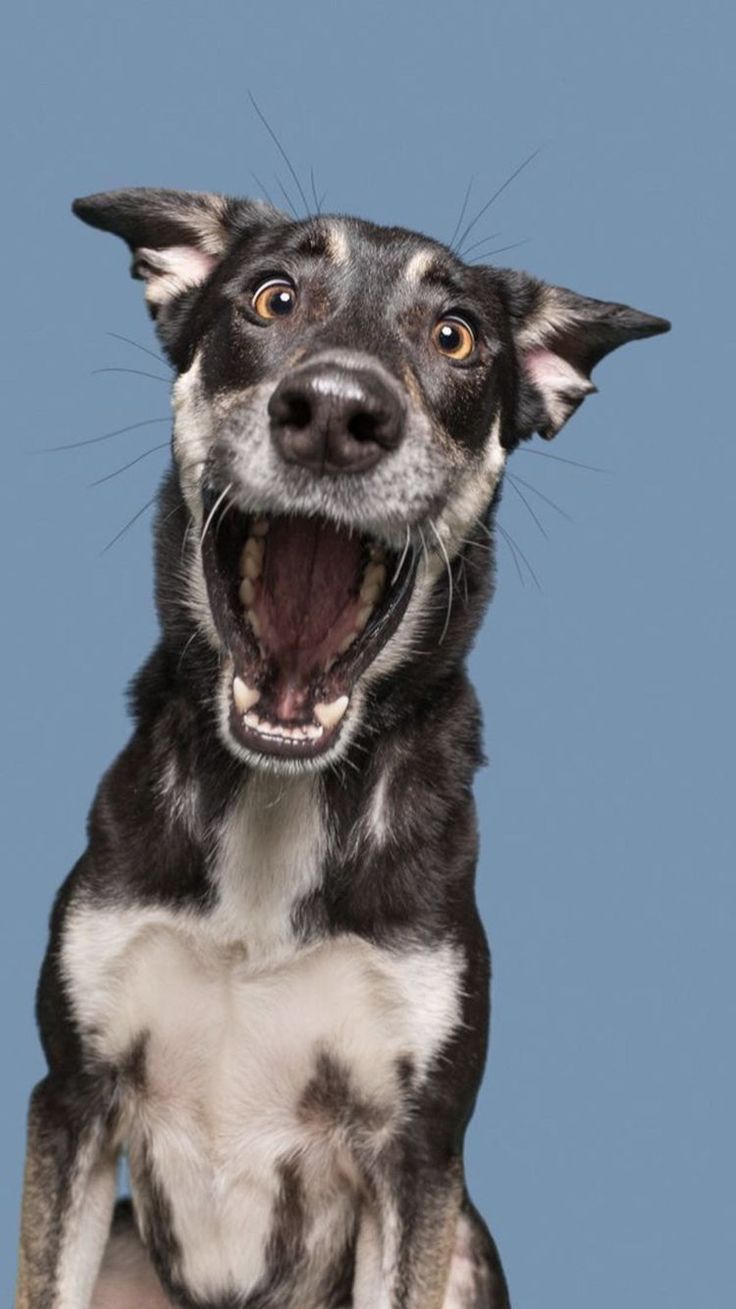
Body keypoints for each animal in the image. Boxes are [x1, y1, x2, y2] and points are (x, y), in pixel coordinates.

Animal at [15, 187, 670, 1309]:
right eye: (271, 297)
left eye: (455, 336)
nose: (333, 410)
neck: (278, 806)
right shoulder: (71, 1098)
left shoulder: (417, 1155)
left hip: (465, 1244)